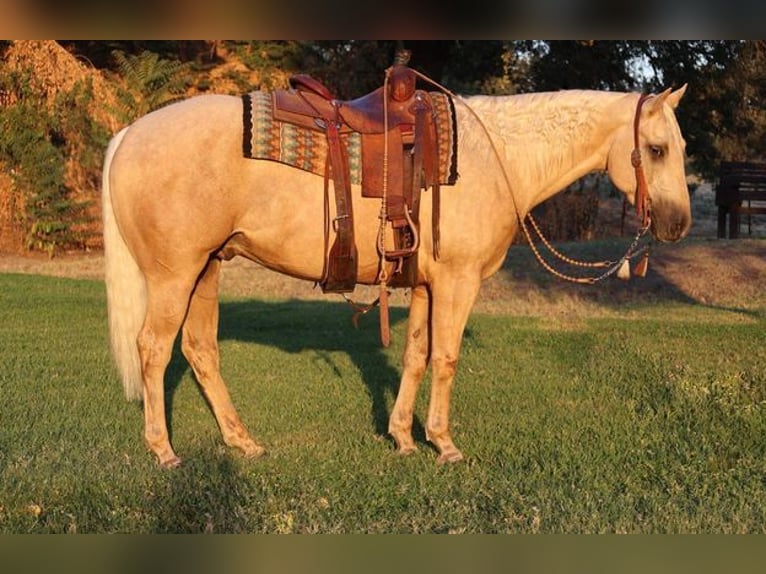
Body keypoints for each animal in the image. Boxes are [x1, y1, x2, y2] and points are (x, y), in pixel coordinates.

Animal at [102, 84, 691, 467]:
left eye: (680, 149)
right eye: (656, 149)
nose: (678, 224)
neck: (494, 155)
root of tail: (130, 132)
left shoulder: (426, 285)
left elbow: (415, 356)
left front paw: (404, 437)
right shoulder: (457, 282)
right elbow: (446, 358)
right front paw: (443, 444)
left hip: (206, 269)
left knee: (200, 350)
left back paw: (241, 442)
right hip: (175, 274)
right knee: (153, 348)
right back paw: (163, 451)